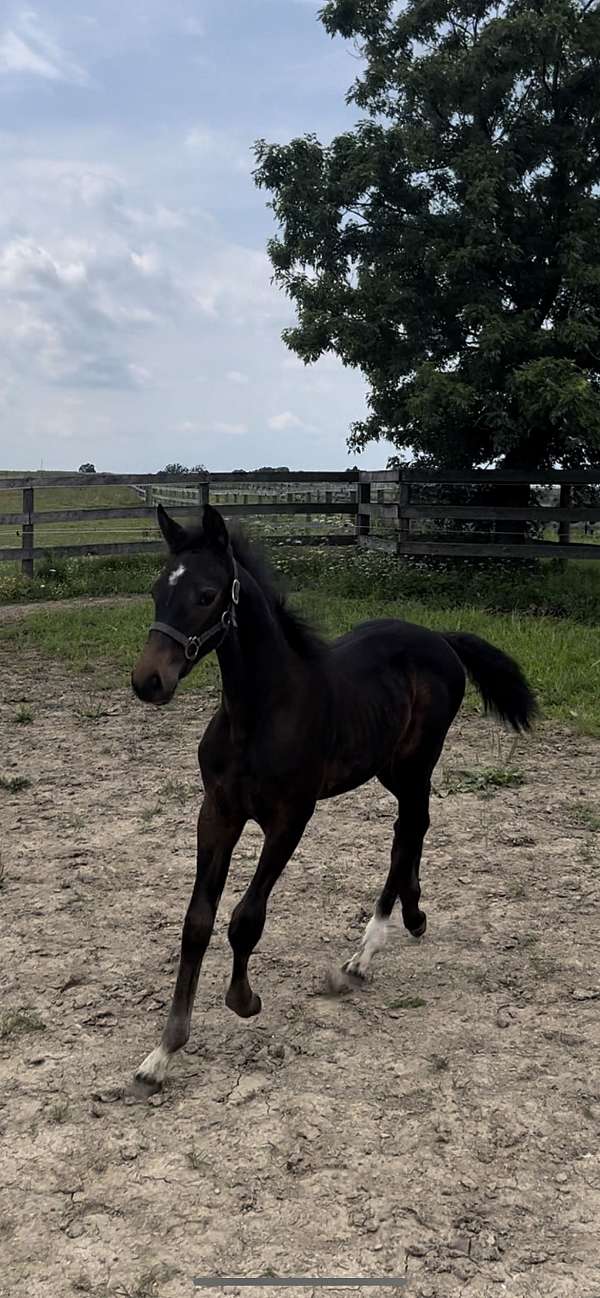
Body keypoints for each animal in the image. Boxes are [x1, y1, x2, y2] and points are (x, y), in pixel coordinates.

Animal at [129, 501, 535, 1090]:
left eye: (206, 594)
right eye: (158, 590)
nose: (149, 681)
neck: (259, 715)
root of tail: (439, 637)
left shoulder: (290, 818)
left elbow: (245, 918)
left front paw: (244, 1000)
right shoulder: (218, 813)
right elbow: (197, 922)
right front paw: (164, 1050)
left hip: (417, 762)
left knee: (409, 828)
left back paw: (366, 952)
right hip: (389, 768)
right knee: (416, 827)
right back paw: (412, 917)